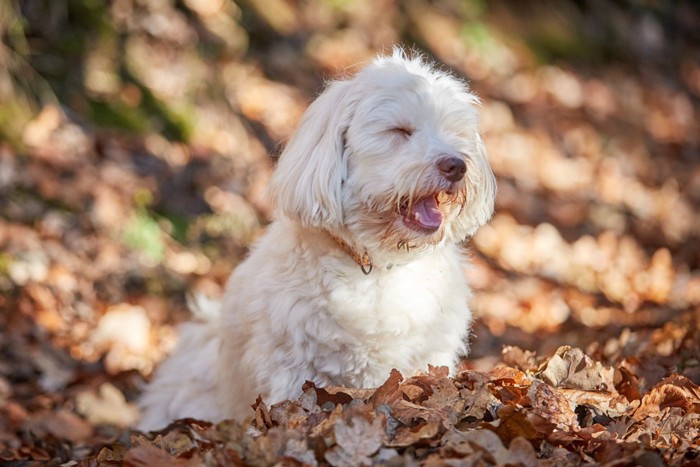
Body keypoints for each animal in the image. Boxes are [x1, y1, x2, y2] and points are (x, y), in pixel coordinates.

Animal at [137, 48, 494, 432]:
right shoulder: (292, 368)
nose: (456, 165)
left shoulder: (429, 356)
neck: (377, 265)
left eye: (455, 133)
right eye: (399, 131)